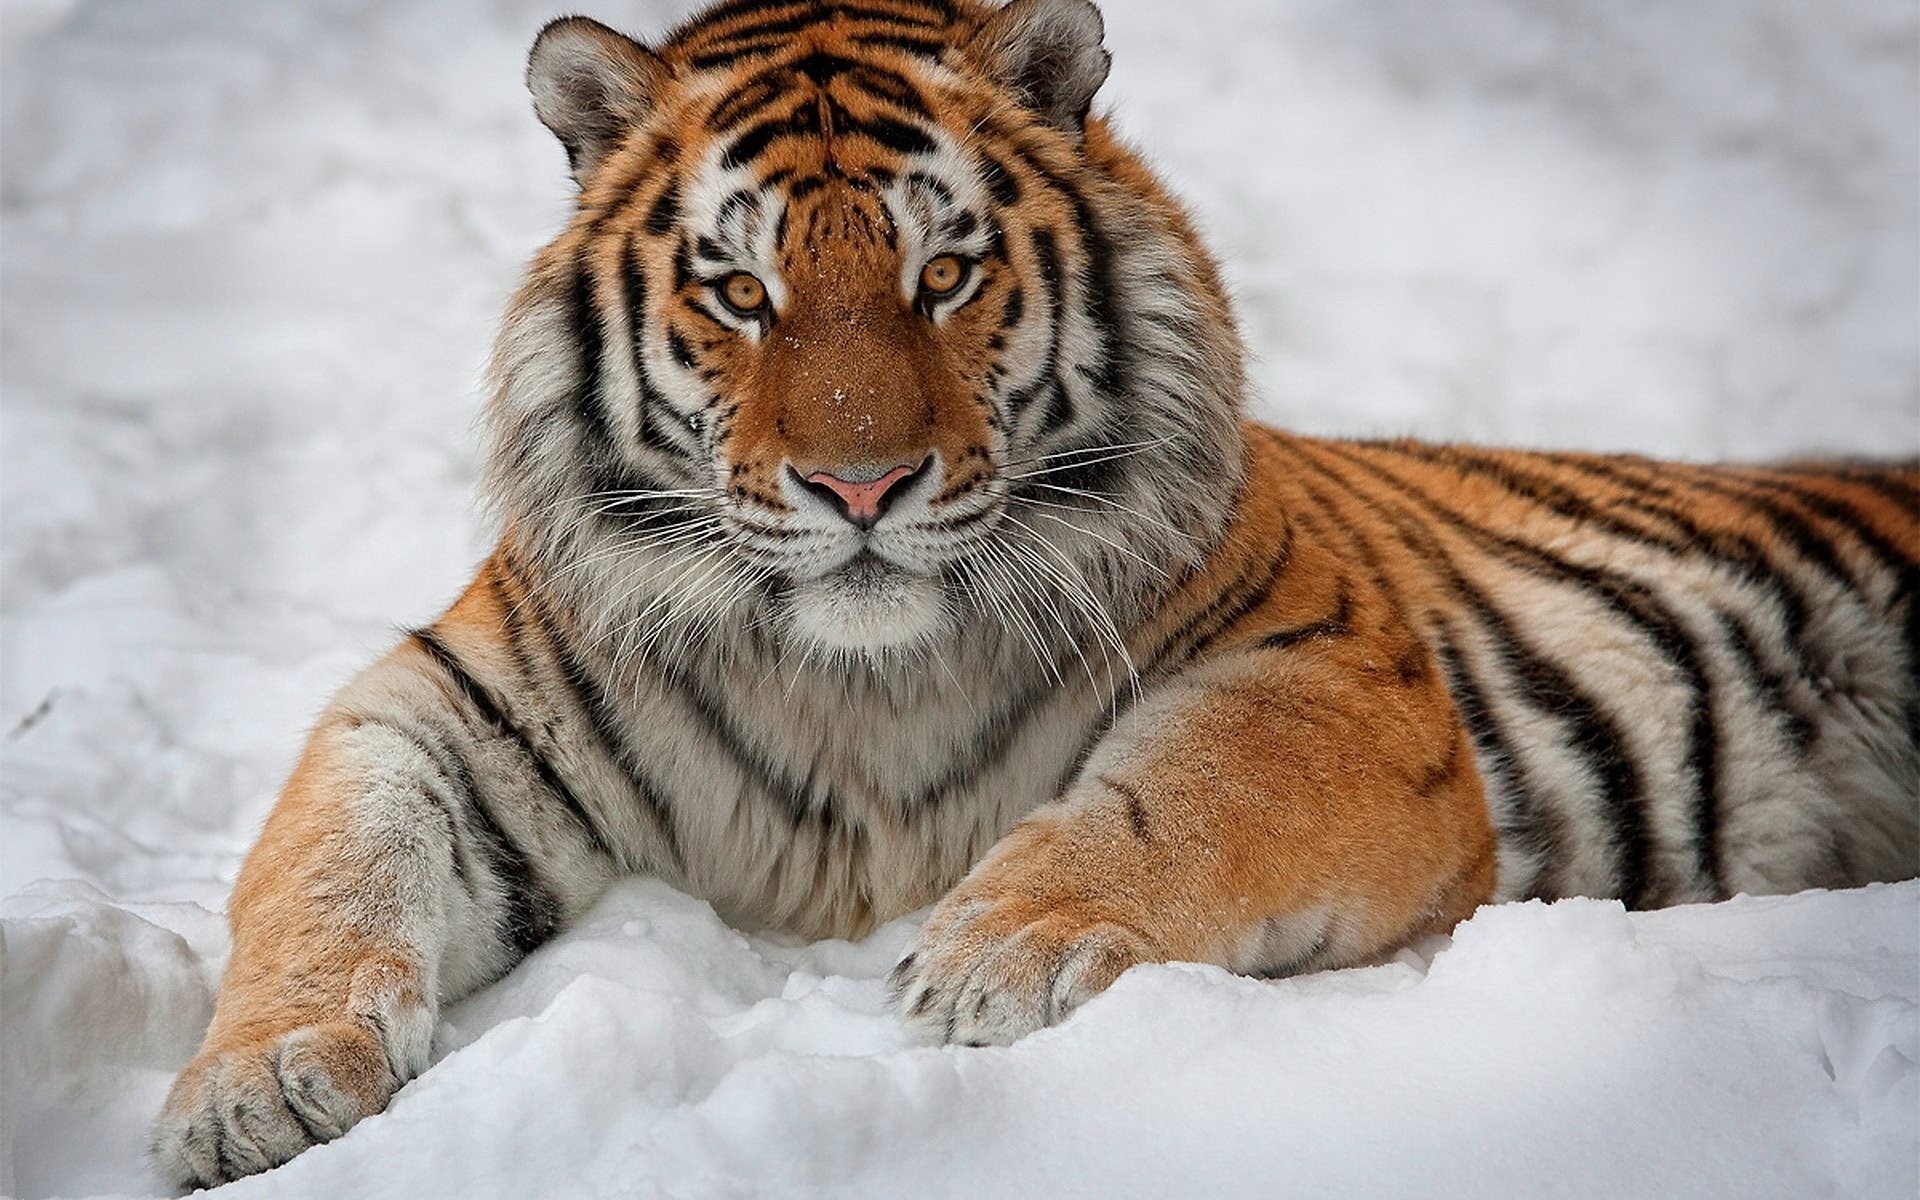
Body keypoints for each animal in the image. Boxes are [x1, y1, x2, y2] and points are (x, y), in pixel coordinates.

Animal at [150, 0, 1919, 1187]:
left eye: (943, 274)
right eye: (744, 292)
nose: (860, 488)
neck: (857, 681)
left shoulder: (1331, 672)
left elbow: (1178, 796)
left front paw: (1000, 953)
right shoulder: (440, 709)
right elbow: (326, 873)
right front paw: (255, 1084)